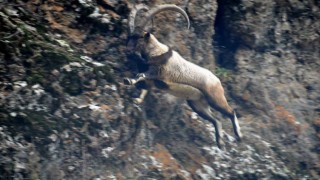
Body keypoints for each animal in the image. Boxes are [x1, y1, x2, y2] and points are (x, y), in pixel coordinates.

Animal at [124, 4, 241, 148]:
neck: (157, 53)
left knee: (230, 111)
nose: (128, 50)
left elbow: (142, 75)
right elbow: (145, 88)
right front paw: (137, 100)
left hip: (214, 98)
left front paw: (128, 80)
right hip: (197, 104)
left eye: (138, 37)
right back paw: (220, 143)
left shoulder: (158, 72)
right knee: (216, 120)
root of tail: (217, 81)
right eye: (129, 36)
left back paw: (239, 135)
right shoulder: (151, 80)